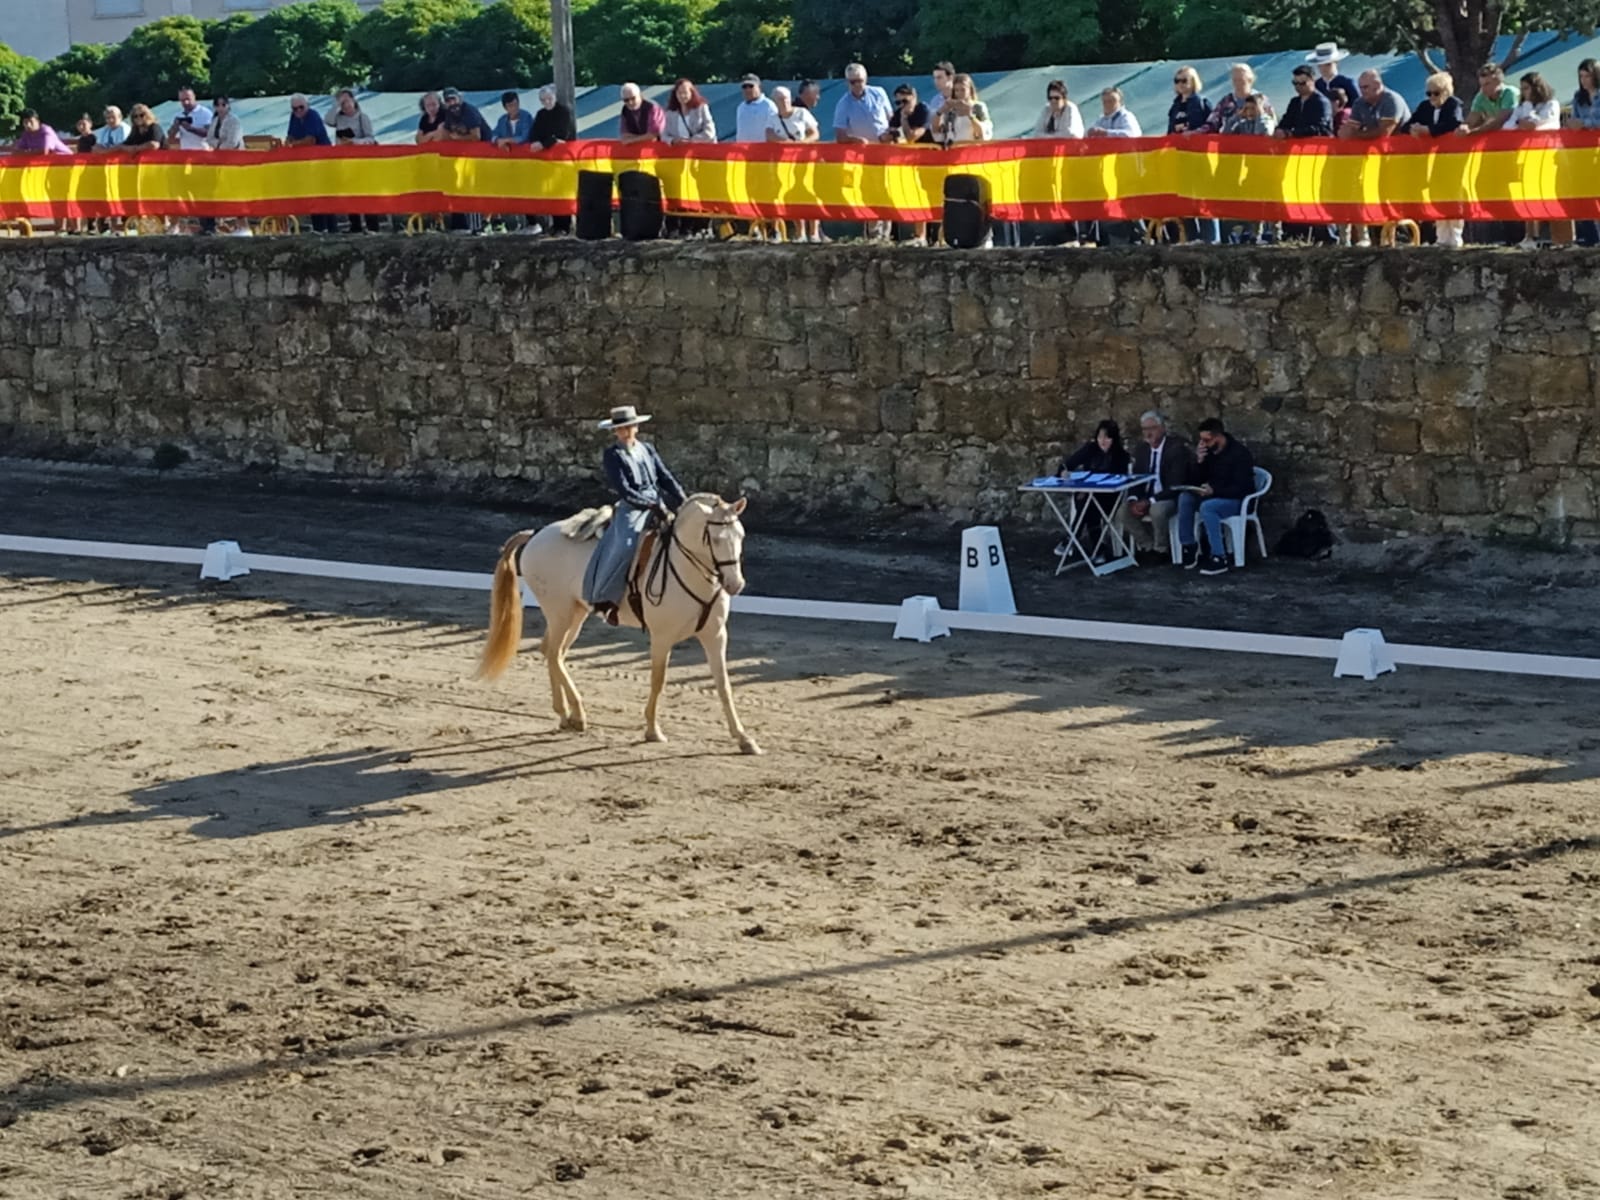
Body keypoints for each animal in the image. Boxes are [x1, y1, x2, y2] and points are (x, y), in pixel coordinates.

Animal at [473, 492, 761, 755]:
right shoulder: (662, 637)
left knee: (553, 653)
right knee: (554, 654)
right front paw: (652, 731)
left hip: (575, 614)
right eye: (715, 539)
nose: (736, 584)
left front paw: (744, 739)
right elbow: (658, 680)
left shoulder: (715, 635)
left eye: (741, 535)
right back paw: (577, 713)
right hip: (560, 612)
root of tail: (535, 535)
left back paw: (566, 715)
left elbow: (723, 686)